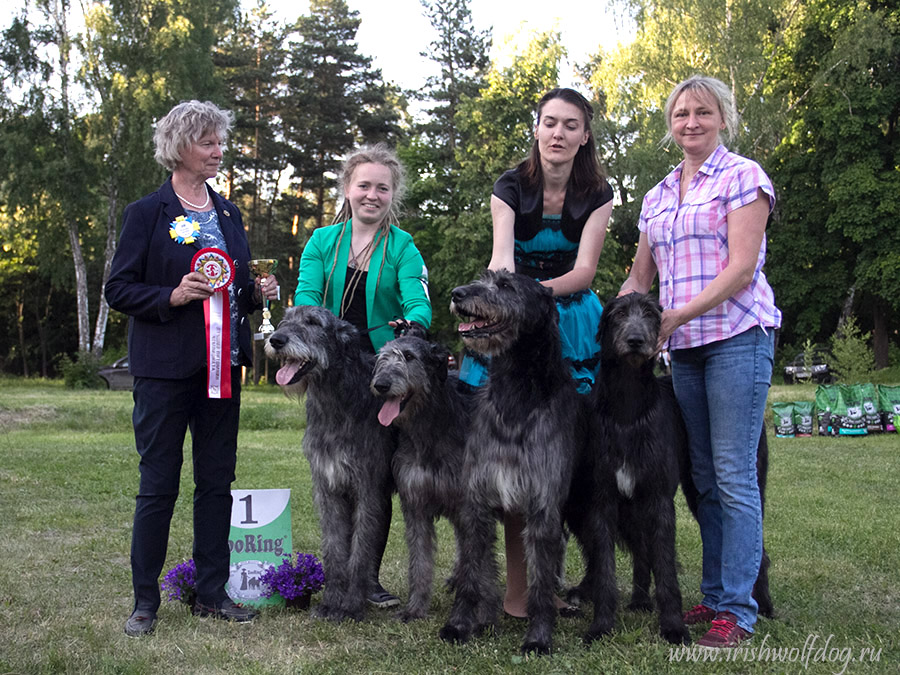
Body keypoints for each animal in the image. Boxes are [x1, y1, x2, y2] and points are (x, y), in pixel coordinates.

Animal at [268, 306, 394, 624]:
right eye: (285, 320)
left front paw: (350, 606)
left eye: (313, 322)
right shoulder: (328, 487)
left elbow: (361, 550)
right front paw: (331, 602)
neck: (336, 399)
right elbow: (335, 548)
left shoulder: (368, 489)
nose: (276, 339)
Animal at [370, 336, 474, 624]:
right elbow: (419, 560)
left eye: (409, 356)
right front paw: (415, 609)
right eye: (381, 358)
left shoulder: (466, 502)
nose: (381, 385)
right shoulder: (414, 503)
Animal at [438, 268, 584, 656]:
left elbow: (540, 581)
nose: (457, 293)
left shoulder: (544, 502)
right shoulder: (477, 498)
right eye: (482, 278)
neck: (516, 394)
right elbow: (473, 569)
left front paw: (539, 636)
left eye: (506, 286)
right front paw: (460, 623)